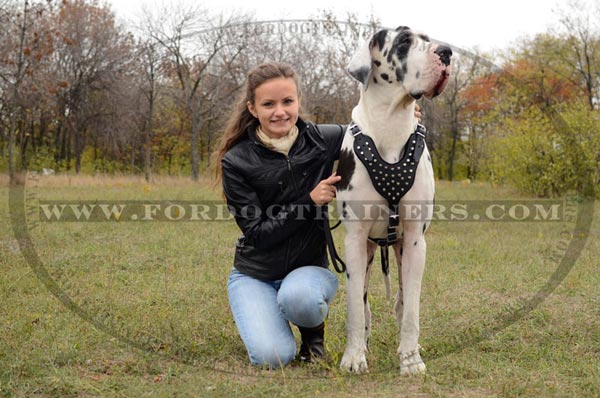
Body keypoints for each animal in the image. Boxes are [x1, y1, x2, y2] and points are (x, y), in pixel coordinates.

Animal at [336, 26, 452, 374]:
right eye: (402, 42)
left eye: (427, 39)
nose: (446, 52)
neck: (389, 125)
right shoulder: (354, 240)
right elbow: (355, 309)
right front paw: (353, 357)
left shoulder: (415, 240)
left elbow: (411, 309)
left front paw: (411, 361)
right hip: (367, 250)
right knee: (363, 304)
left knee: (402, 302)